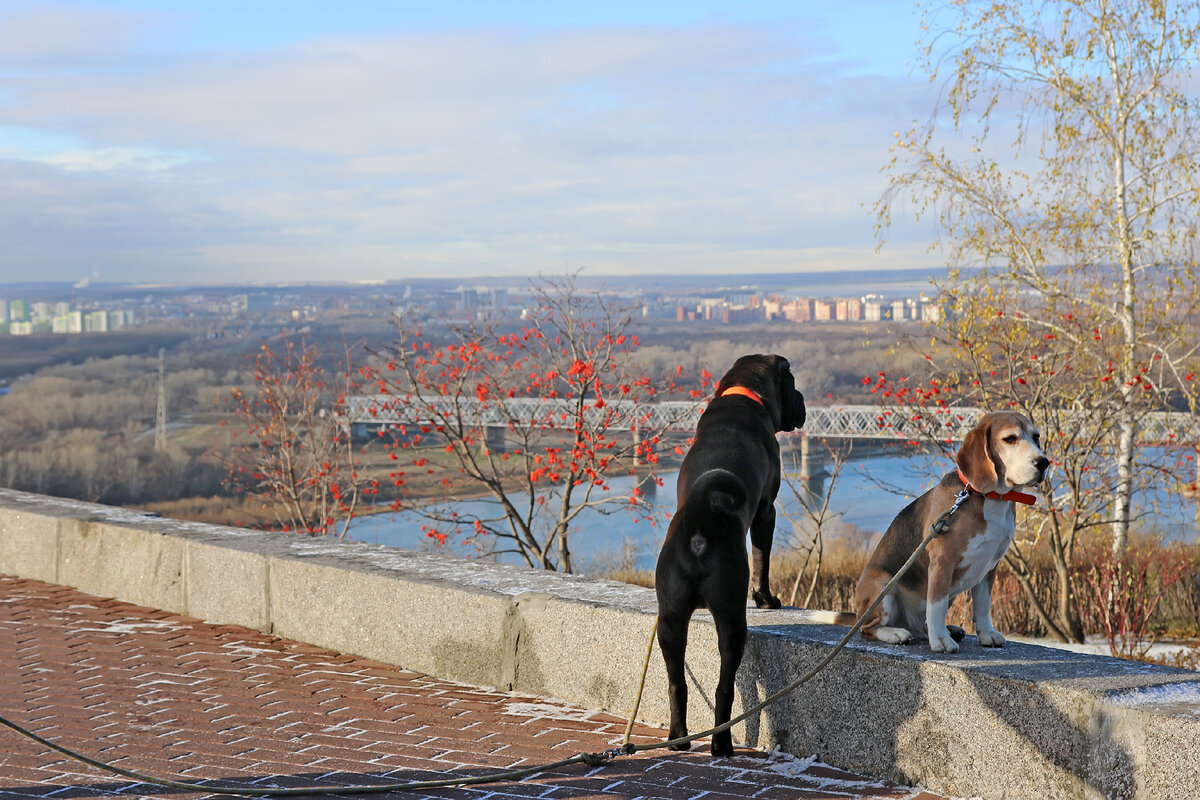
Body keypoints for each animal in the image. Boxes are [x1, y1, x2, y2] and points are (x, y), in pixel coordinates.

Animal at [657, 355, 806, 758]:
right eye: (792, 382)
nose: (803, 400)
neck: (743, 394)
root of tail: (697, 533)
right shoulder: (767, 509)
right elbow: (762, 559)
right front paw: (768, 600)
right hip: (730, 613)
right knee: (725, 685)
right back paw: (721, 743)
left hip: (669, 618)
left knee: (677, 682)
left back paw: (678, 738)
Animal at [816, 412, 1051, 652]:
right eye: (1010, 439)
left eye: (1036, 437)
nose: (1044, 462)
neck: (990, 498)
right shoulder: (942, 562)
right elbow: (936, 605)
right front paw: (940, 640)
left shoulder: (990, 566)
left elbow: (983, 605)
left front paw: (986, 634)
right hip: (882, 585)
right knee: (868, 629)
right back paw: (897, 633)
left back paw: (948, 630)